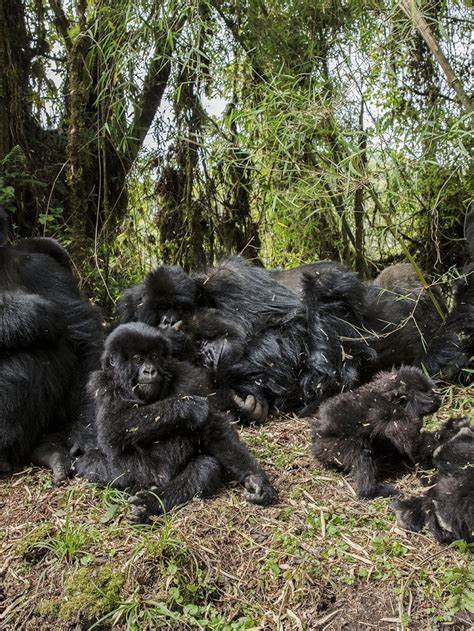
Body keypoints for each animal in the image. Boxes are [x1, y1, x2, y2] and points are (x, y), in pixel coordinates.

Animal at [73, 324, 274, 524]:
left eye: (154, 357)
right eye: (138, 359)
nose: (150, 371)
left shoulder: (188, 376)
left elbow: (214, 428)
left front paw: (255, 479)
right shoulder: (102, 384)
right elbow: (112, 426)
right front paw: (188, 406)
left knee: (205, 468)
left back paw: (150, 503)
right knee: (90, 463)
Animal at [312, 368, 440, 502]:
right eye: (429, 396)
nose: (438, 399)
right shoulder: (393, 416)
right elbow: (413, 445)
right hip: (330, 446)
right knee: (360, 454)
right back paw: (370, 491)